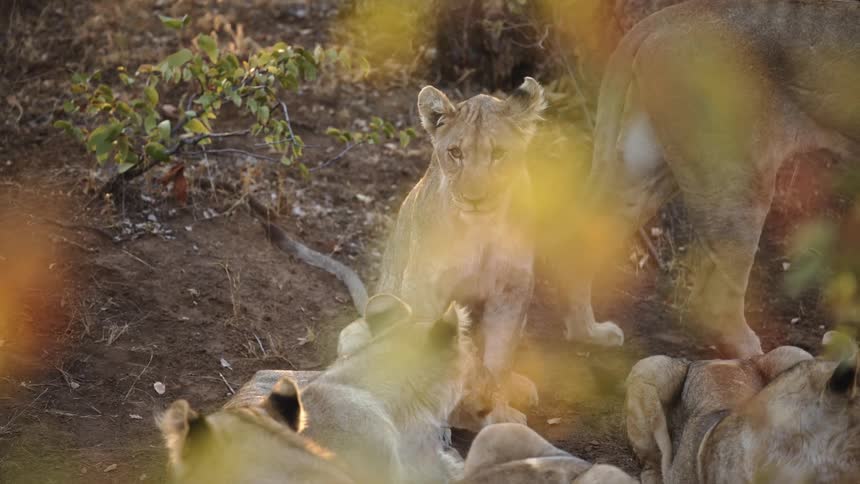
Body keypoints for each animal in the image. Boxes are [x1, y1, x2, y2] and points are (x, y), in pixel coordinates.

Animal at [564, 0, 860, 357]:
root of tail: (663, 19)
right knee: (712, 302)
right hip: (740, 178)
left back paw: (588, 333)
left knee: (580, 240)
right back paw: (755, 354)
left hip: (645, 171)